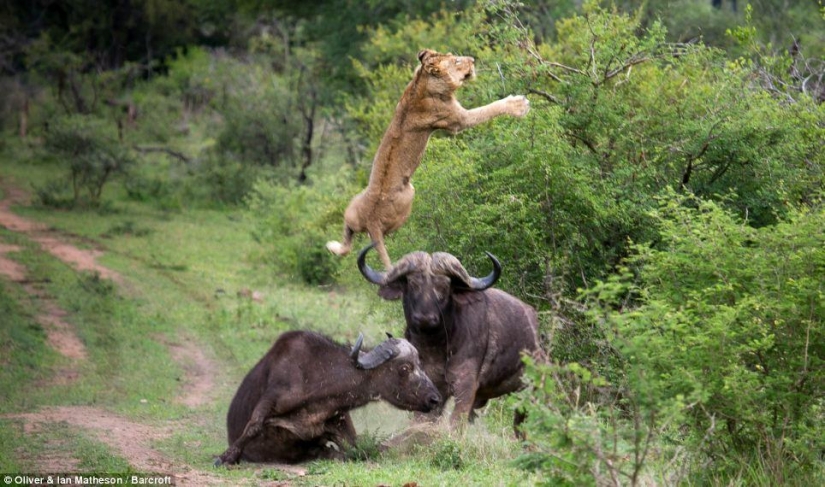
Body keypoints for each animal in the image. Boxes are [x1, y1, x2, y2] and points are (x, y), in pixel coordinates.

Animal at [216, 330, 441, 465]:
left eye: (420, 364)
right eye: (404, 368)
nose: (435, 399)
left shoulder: (340, 422)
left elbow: (361, 448)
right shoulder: (272, 398)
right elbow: (253, 426)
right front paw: (226, 456)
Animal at [358, 244, 542, 431]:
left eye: (444, 288)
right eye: (413, 284)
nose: (425, 318)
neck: (437, 347)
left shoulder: (466, 385)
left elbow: (455, 423)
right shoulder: (431, 386)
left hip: (528, 393)